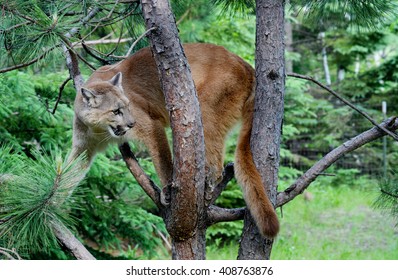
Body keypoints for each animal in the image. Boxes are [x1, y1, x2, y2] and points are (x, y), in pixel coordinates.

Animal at [70, 42, 278, 237]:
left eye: (128, 106)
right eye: (115, 111)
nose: (131, 123)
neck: (99, 129)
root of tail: (247, 65)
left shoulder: (151, 126)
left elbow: (163, 161)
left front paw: (168, 191)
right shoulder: (84, 147)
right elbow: (70, 172)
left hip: (204, 109)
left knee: (216, 167)